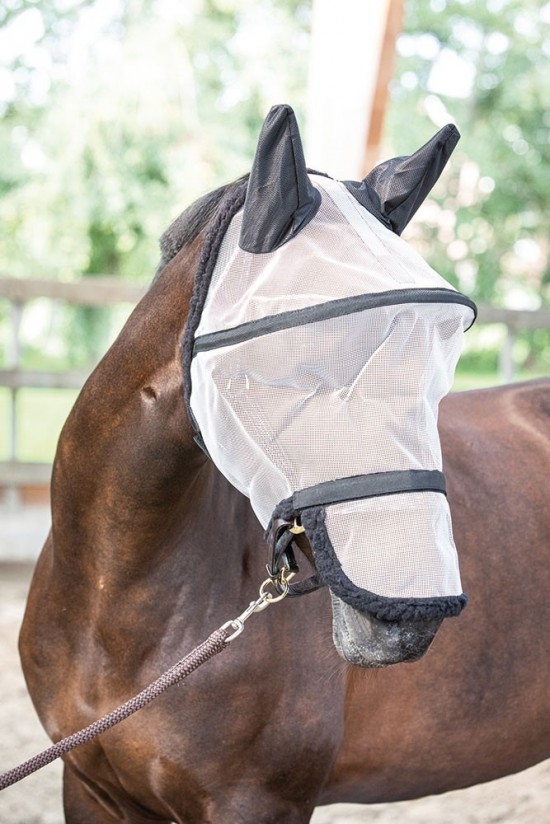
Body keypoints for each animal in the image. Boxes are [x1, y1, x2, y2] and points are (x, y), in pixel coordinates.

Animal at [19, 105, 550, 823]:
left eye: (434, 368)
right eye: (292, 368)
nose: (409, 619)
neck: (113, 602)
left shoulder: (257, 802)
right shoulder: (91, 790)